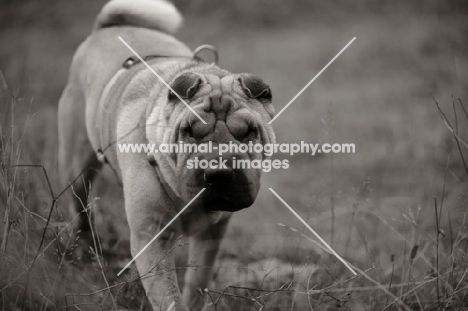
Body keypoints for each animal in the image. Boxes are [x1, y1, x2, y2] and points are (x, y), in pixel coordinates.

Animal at [58, 1, 278, 310]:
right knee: (79, 207)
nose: (220, 170)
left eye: (249, 132)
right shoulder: (151, 237)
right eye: (189, 131)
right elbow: (168, 297)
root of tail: (106, 27)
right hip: (76, 166)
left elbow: (197, 283)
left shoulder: (211, 234)